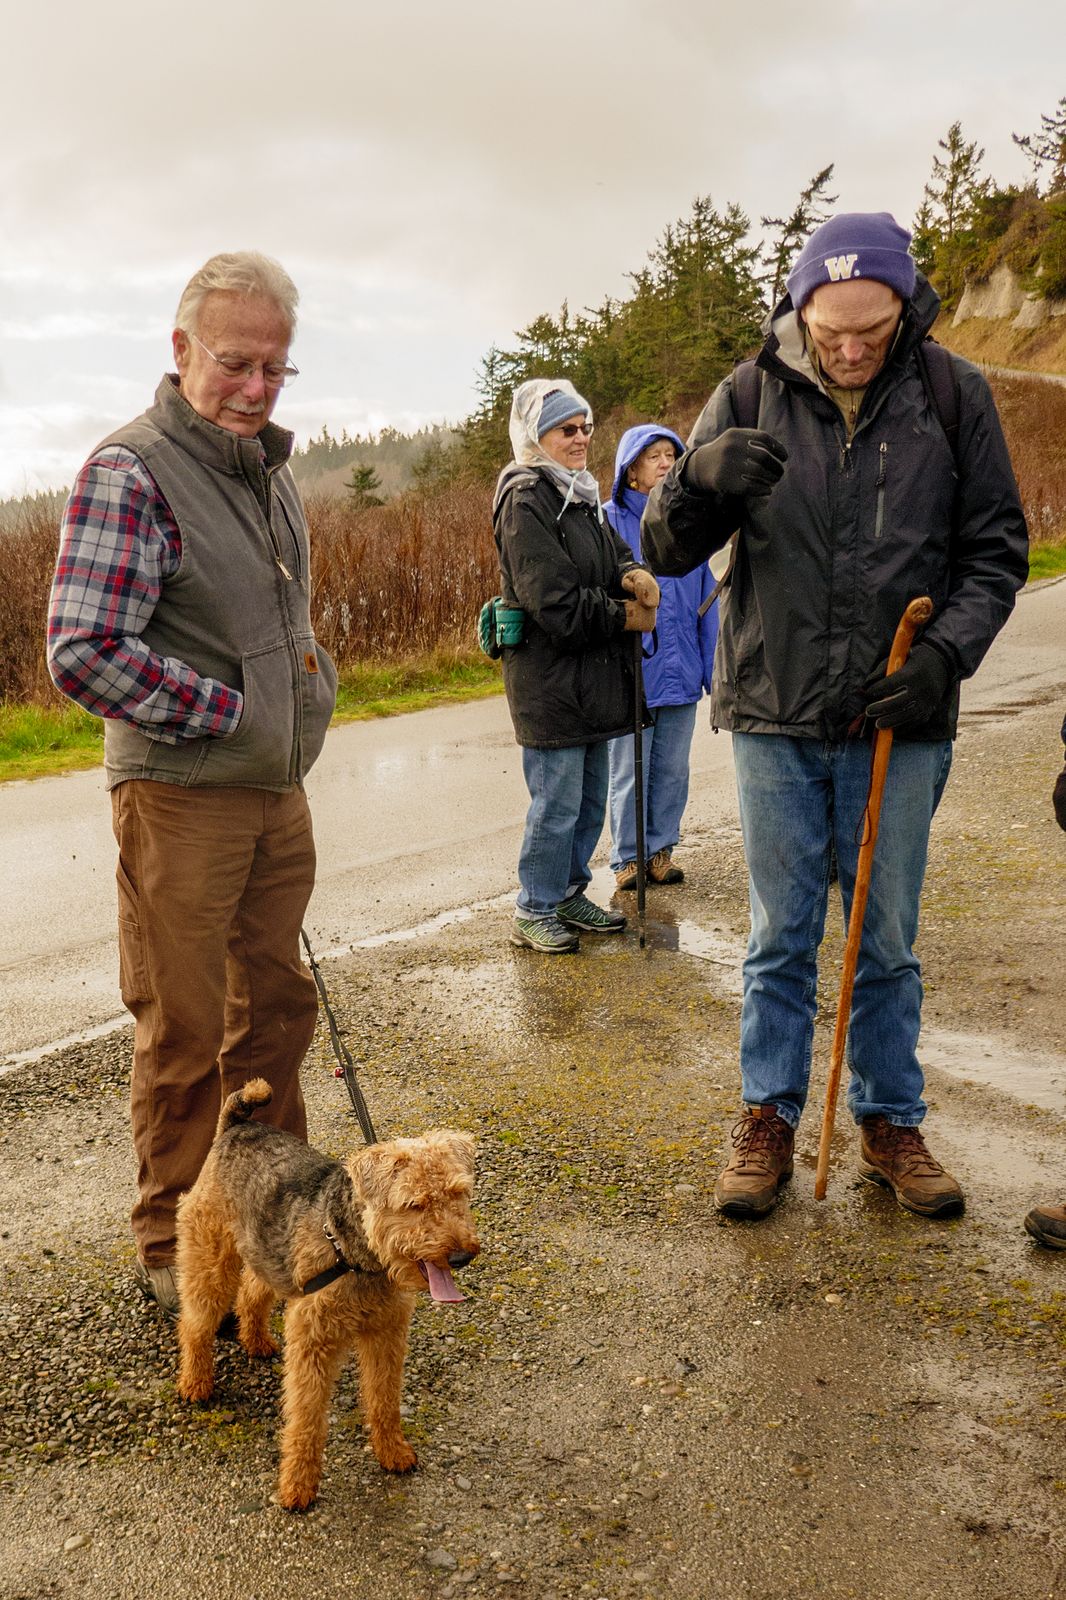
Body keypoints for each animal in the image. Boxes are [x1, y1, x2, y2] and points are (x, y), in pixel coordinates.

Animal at [175, 1075, 476, 1510]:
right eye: (415, 1204)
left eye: (459, 1193)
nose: (461, 1256)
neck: (358, 1257)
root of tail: (236, 1125)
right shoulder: (313, 1340)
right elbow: (306, 1418)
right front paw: (297, 1487)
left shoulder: (386, 1333)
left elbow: (384, 1399)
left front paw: (394, 1452)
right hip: (210, 1256)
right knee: (195, 1323)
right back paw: (196, 1384)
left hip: (270, 1255)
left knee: (252, 1292)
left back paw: (257, 1341)